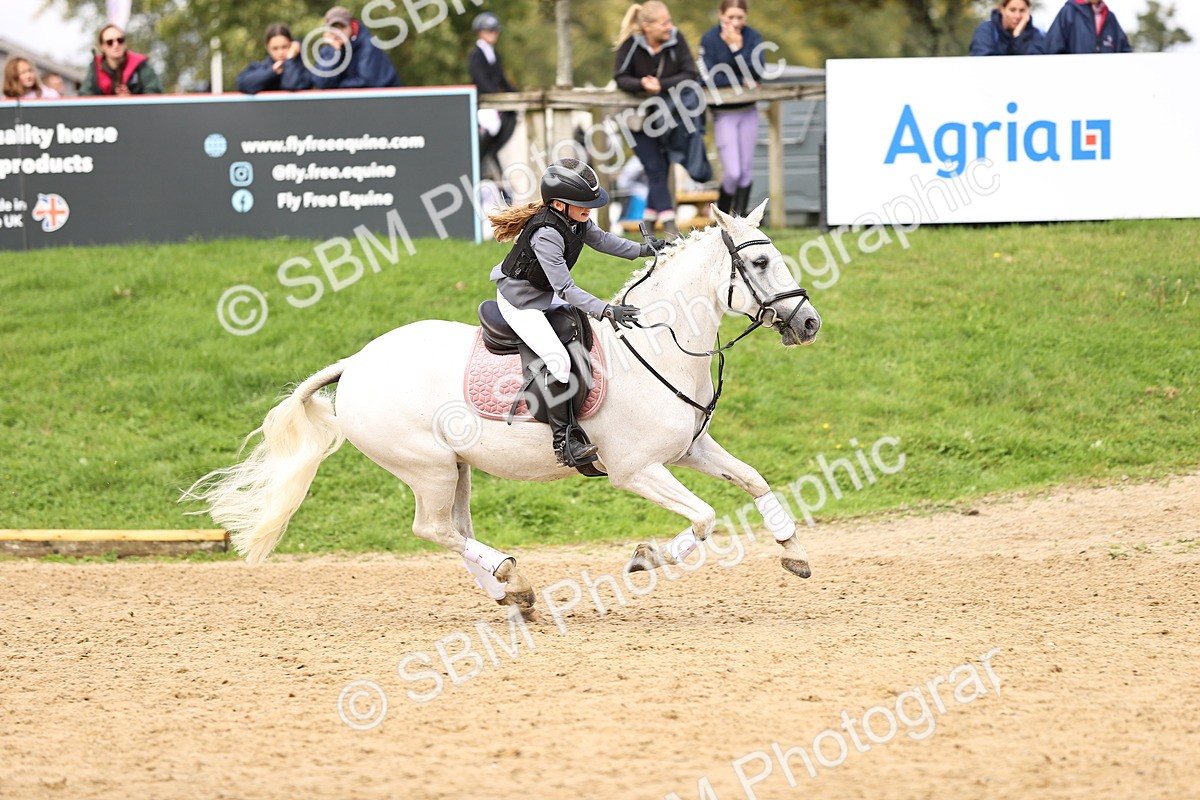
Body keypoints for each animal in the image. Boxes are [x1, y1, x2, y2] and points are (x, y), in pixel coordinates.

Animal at [184, 201, 821, 614]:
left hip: (456, 466)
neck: (658, 345)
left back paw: (512, 593)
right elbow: (706, 518)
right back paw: (508, 575)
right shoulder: (637, 469)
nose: (809, 323)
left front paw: (792, 550)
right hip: (426, 467)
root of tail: (357, 363)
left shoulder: (690, 449)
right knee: (431, 528)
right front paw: (647, 559)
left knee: (454, 529)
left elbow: (754, 480)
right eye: (759, 265)